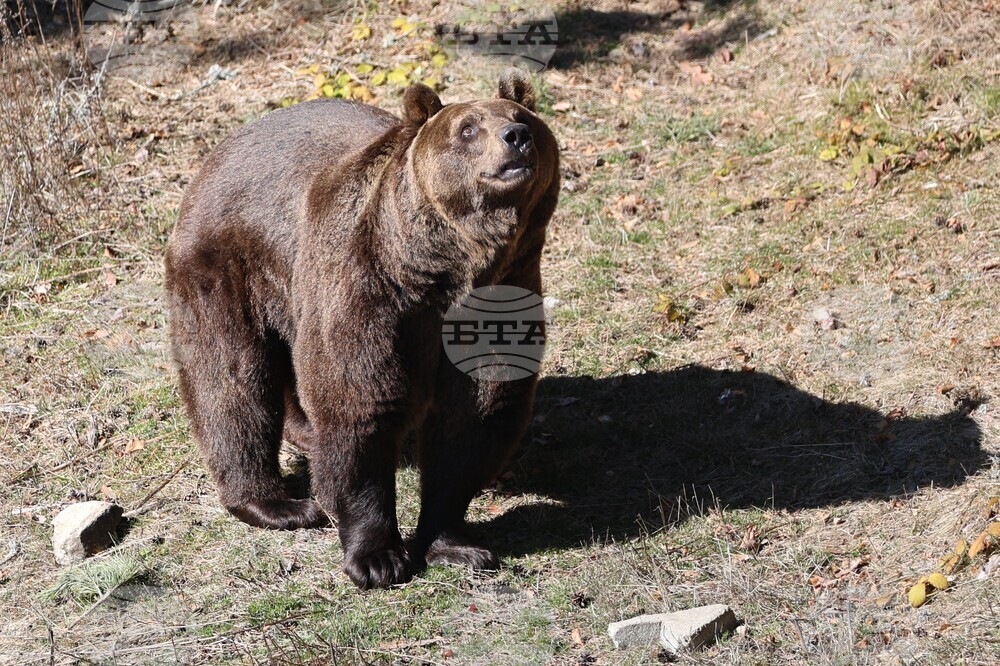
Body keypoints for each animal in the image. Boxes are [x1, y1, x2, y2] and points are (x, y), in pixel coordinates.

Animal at [164, 68, 559, 590]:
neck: (444, 269)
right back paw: (277, 503)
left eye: (521, 117)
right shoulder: (368, 287)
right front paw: (377, 557)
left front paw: (456, 544)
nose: (515, 137)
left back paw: (306, 437)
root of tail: (217, 153)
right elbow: (359, 405)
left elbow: (476, 416)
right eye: (468, 129)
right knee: (231, 382)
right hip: (229, 266)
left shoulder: (499, 294)